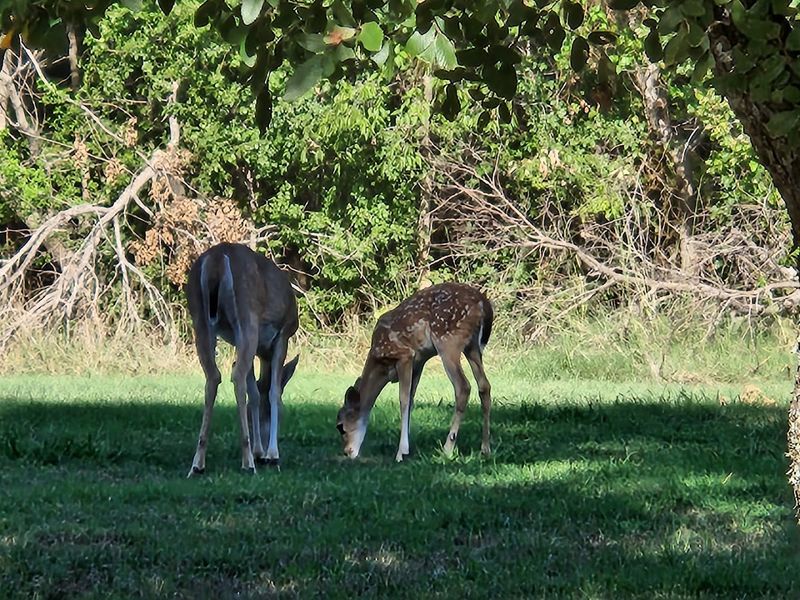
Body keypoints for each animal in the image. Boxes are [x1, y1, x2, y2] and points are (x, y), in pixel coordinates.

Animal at [185, 242, 299, 477]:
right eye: (284, 412)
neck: (264, 353)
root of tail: (217, 258)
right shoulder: (283, 335)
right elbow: (272, 392)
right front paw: (270, 454)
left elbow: (254, 393)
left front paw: (259, 451)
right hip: (248, 316)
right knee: (235, 377)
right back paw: (248, 462)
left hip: (199, 318)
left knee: (213, 377)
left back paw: (198, 463)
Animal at [336, 282, 493, 462]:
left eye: (340, 427)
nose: (347, 452)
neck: (380, 365)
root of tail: (483, 303)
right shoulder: (419, 362)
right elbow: (411, 399)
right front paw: (408, 446)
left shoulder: (404, 355)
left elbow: (403, 400)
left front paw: (400, 452)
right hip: (473, 347)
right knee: (484, 386)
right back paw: (485, 448)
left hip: (447, 341)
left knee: (463, 386)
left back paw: (447, 449)